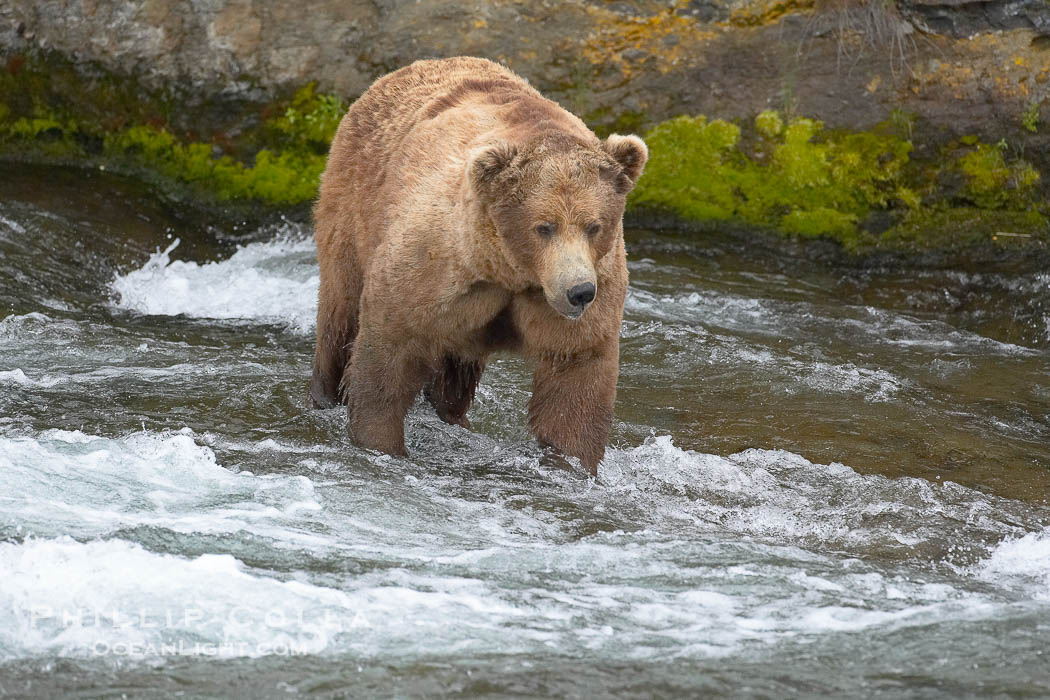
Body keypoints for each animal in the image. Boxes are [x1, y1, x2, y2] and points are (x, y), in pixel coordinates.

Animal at [310, 56, 647, 475]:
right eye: (544, 226)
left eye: (594, 225)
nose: (579, 292)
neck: (508, 271)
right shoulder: (433, 263)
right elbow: (387, 350)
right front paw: (380, 443)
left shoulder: (588, 287)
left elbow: (575, 376)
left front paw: (571, 460)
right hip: (352, 204)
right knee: (339, 311)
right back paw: (324, 394)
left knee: (455, 372)